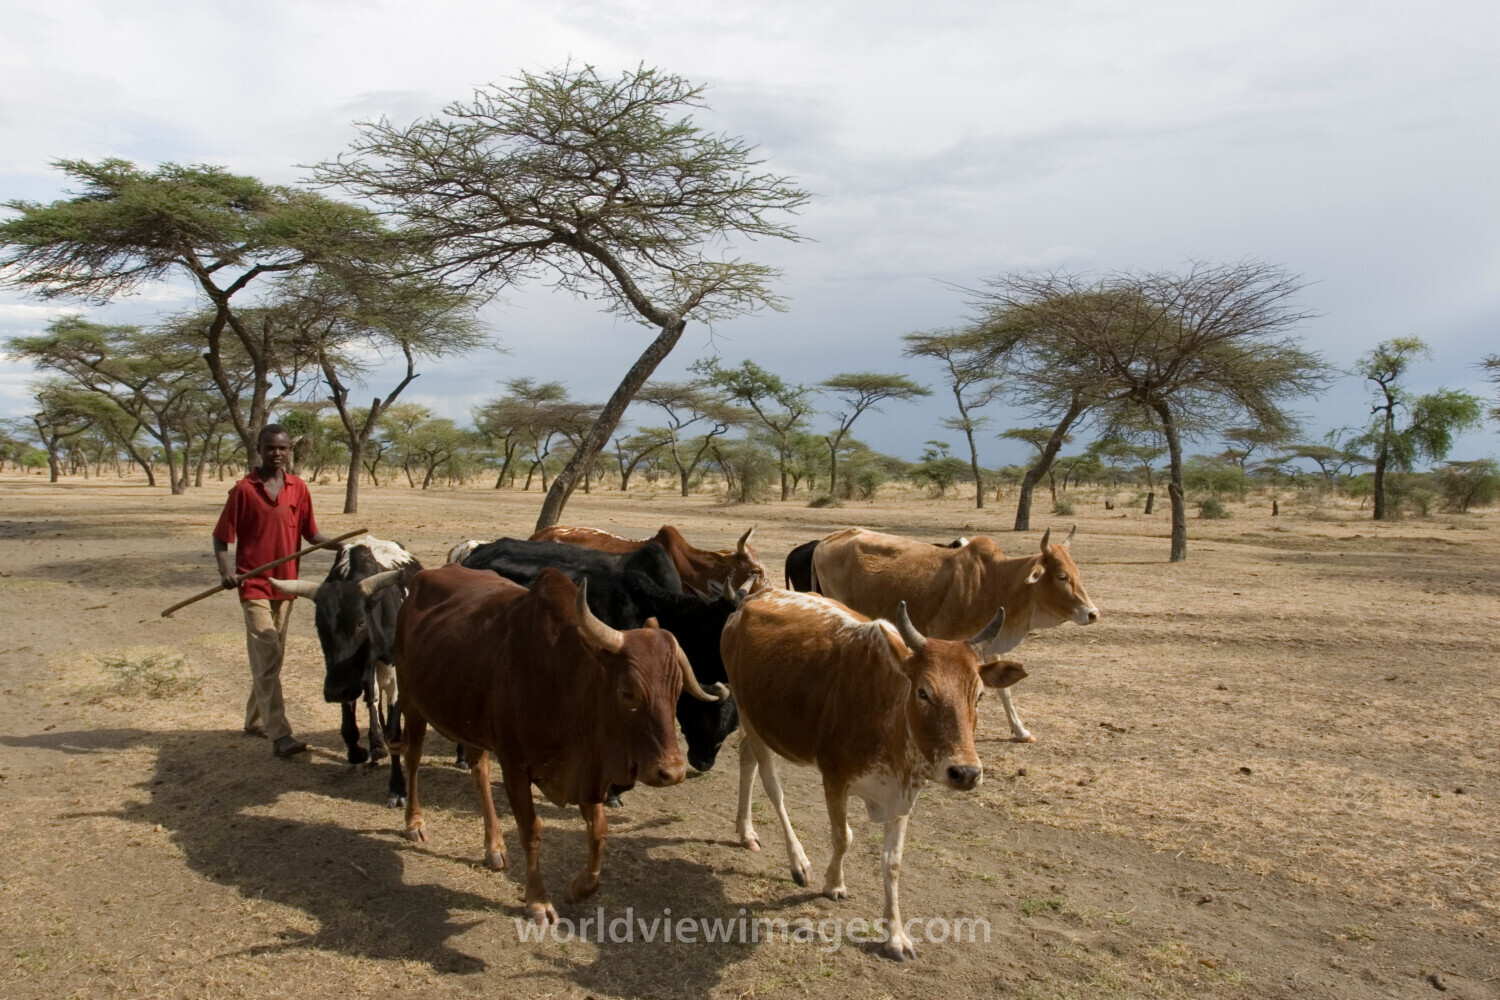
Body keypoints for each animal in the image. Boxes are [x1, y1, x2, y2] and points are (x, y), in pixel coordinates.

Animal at [393, 564, 728, 924]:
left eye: (677, 691)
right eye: (628, 692)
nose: (673, 772)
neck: (563, 679)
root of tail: (424, 576)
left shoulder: (587, 771)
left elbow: (599, 832)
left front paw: (579, 888)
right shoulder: (514, 767)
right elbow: (531, 830)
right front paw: (538, 900)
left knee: (478, 769)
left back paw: (494, 846)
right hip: (411, 701)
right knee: (413, 757)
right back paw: (414, 823)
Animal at [723, 588, 1024, 961]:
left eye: (979, 694)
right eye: (923, 692)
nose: (965, 772)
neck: (889, 718)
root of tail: (757, 595)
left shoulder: (903, 794)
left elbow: (892, 862)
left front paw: (895, 936)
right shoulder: (835, 778)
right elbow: (843, 837)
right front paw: (834, 883)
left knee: (746, 759)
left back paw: (745, 831)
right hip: (748, 713)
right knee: (771, 783)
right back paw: (798, 860)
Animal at [809, 526, 1099, 742]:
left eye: (1077, 573)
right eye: (1062, 576)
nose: (1092, 613)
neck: (994, 581)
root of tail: (825, 541)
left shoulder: (987, 642)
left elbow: (1004, 691)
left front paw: (1021, 731)